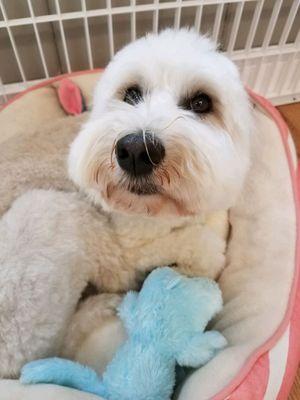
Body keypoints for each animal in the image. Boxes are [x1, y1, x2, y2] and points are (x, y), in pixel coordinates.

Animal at [0, 28, 252, 378]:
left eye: (201, 102)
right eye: (131, 94)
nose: (135, 150)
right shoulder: (131, 245)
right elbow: (200, 246)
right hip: (54, 215)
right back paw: (103, 306)